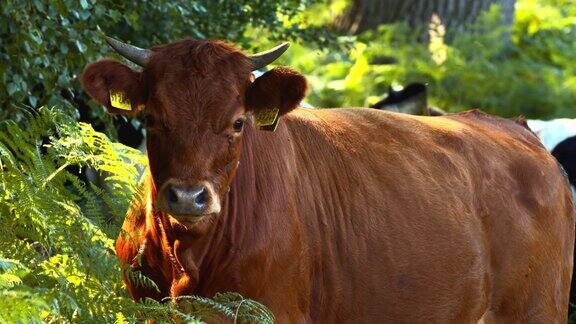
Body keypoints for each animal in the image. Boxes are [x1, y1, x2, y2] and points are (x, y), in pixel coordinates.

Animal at [80, 36, 572, 322]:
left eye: (238, 122)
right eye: (151, 119)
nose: (188, 197)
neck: (187, 258)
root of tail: (510, 126)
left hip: (537, 310)